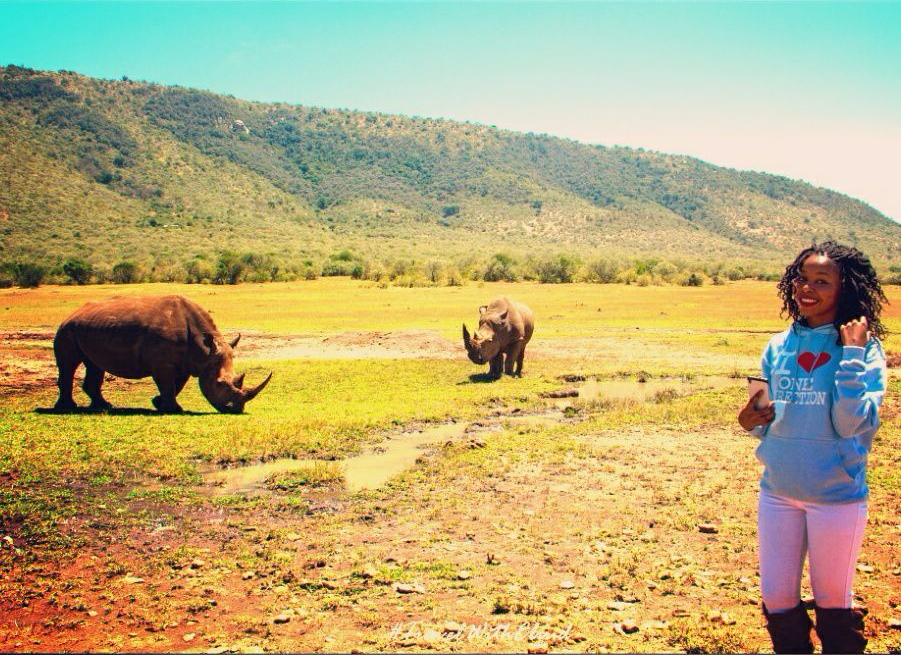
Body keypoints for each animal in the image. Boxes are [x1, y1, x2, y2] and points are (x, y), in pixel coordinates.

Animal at [53, 295, 271, 414]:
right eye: (219, 384)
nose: (235, 409)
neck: (205, 348)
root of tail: (72, 313)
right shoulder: (163, 363)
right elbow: (167, 383)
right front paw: (173, 409)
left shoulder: (188, 362)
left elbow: (176, 385)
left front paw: (158, 404)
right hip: (67, 329)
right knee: (68, 365)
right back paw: (67, 408)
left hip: (86, 327)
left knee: (94, 364)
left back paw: (104, 407)